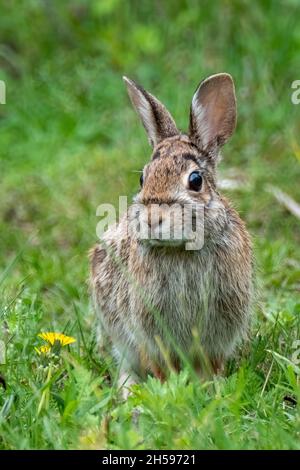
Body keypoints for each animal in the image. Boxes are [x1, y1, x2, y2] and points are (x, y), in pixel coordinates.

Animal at [89, 72, 253, 396]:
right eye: (143, 178)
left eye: (195, 180)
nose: (153, 219)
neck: (181, 249)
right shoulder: (150, 331)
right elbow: (161, 365)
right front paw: (171, 391)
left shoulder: (219, 330)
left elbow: (210, 364)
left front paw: (211, 390)